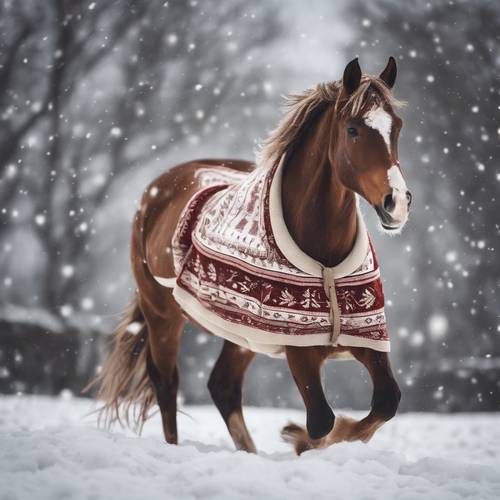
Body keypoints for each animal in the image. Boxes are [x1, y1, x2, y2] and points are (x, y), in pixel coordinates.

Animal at [90, 56, 410, 456]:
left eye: (397, 127)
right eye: (353, 129)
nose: (397, 203)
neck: (326, 262)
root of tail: (161, 186)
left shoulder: (369, 341)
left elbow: (385, 403)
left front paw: (303, 437)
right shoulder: (299, 350)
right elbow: (321, 420)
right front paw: (298, 437)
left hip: (242, 337)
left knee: (222, 385)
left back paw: (250, 450)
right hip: (162, 316)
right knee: (166, 383)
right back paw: (176, 446)